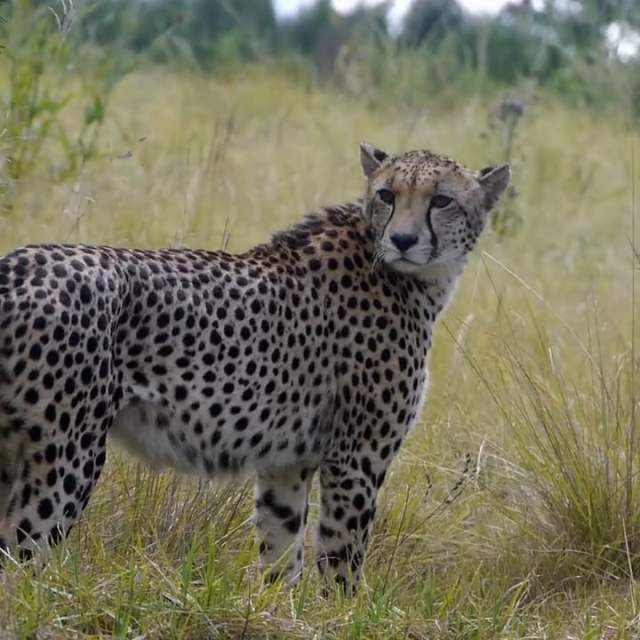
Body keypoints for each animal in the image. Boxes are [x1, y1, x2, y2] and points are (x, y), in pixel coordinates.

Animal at [0, 144, 510, 594]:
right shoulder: (357, 457)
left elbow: (281, 552)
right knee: (21, 554)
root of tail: (18, 263)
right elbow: (341, 557)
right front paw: (343, 615)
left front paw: (280, 610)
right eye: (387, 194)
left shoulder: (286, 462)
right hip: (69, 452)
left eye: (441, 200)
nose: (403, 240)